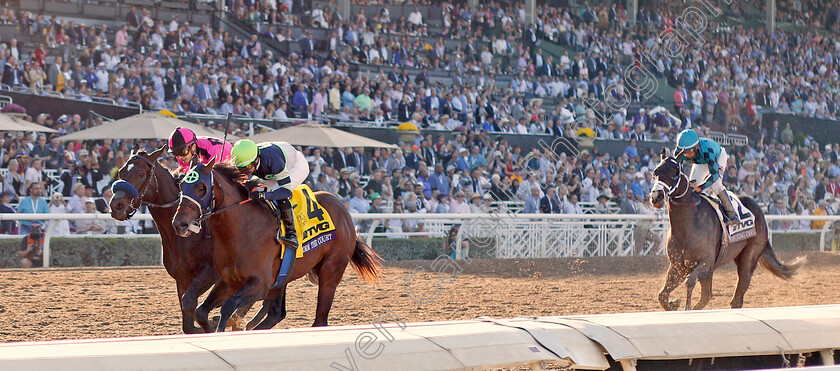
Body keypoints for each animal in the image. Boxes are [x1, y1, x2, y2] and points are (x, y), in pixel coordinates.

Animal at [172, 160, 382, 332]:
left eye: (201, 187)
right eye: (182, 185)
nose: (179, 223)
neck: (242, 229)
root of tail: (343, 210)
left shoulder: (260, 285)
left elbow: (228, 307)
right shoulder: (229, 281)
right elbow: (201, 310)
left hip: (331, 272)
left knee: (319, 319)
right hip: (283, 277)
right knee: (276, 313)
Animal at [648, 150, 804, 312]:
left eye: (675, 172)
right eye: (655, 172)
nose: (656, 196)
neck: (686, 225)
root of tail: (759, 211)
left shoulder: (706, 263)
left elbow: (689, 282)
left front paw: (683, 306)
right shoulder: (678, 266)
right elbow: (662, 295)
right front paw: (674, 303)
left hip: (749, 258)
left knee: (736, 298)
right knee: (707, 296)